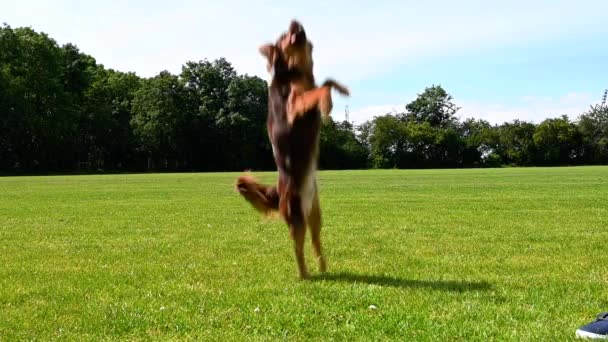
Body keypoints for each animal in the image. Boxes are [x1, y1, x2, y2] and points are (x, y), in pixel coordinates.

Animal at [236, 20, 350, 278]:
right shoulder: (295, 105)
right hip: (296, 217)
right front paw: (327, 103)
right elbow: (322, 87)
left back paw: (323, 268)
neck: (295, 69)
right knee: (297, 248)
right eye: (283, 36)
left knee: (316, 242)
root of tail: (278, 192)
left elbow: (326, 81)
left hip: (315, 215)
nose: (294, 21)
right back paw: (304, 275)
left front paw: (339, 92)